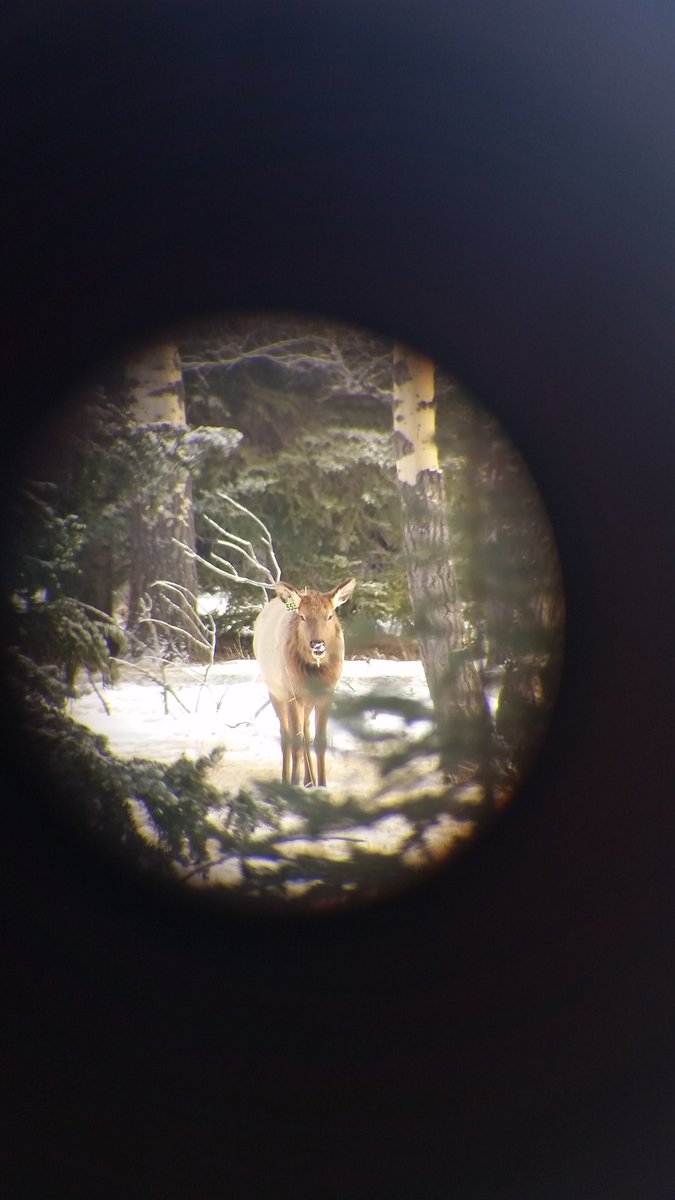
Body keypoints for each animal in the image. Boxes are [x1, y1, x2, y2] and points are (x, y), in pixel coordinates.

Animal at [253, 578, 356, 787]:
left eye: (330, 616)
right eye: (302, 616)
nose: (317, 644)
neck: (314, 674)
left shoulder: (327, 693)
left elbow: (320, 741)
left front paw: (322, 784)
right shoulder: (293, 694)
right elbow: (296, 742)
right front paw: (294, 783)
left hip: (306, 702)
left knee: (306, 730)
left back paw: (309, 781)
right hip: (275, 692)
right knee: (285, 735)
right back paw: (287, 780)